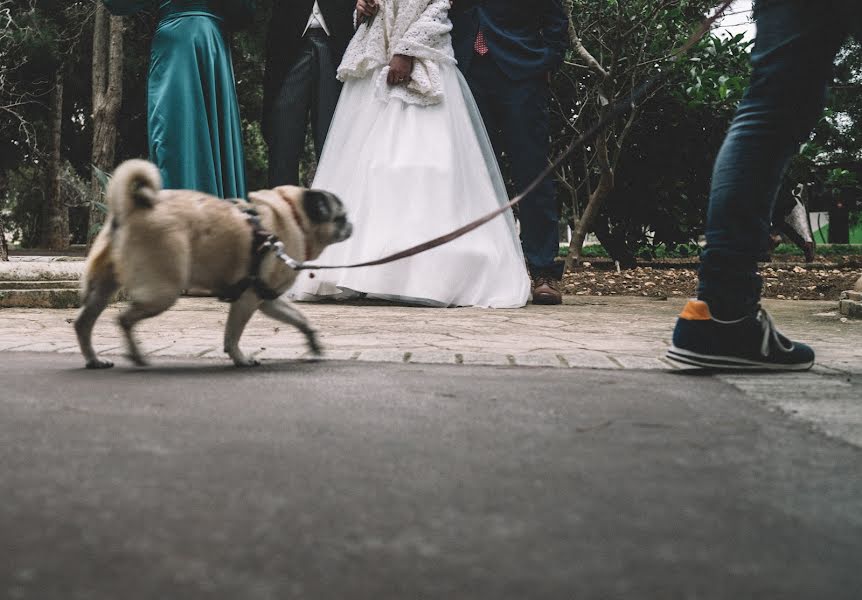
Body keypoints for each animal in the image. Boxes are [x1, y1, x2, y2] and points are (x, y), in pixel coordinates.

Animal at [76, 157, 352, 368]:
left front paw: (313, 341)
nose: (351, 224)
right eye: (340, 217)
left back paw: (95, 360)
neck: (294, 215)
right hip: (163, 292)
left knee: (84, 323)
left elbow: (300, 319)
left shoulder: (268, 298)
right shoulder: (248, 299)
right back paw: (135, 355)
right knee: (124, 319)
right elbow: (232, 336)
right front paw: (240, 359)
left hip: (105, 287)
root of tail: (131, 208)